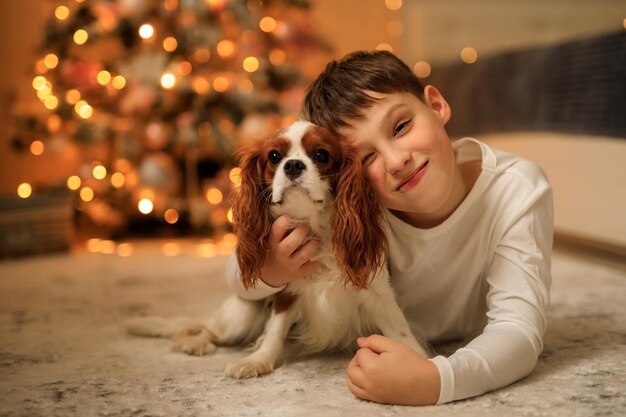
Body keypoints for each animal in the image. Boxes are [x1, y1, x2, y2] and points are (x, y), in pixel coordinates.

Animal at [127, 121, 428, 376]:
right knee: (204, 327)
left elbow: (401, 331)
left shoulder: (377, 294)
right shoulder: (286, 294)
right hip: (242, 315)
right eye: (274, 157)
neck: (314, 227)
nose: (293, 165)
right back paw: (195, 343)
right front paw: (256, 361)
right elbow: (274, 331)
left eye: (321, 155)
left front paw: (418, 362)